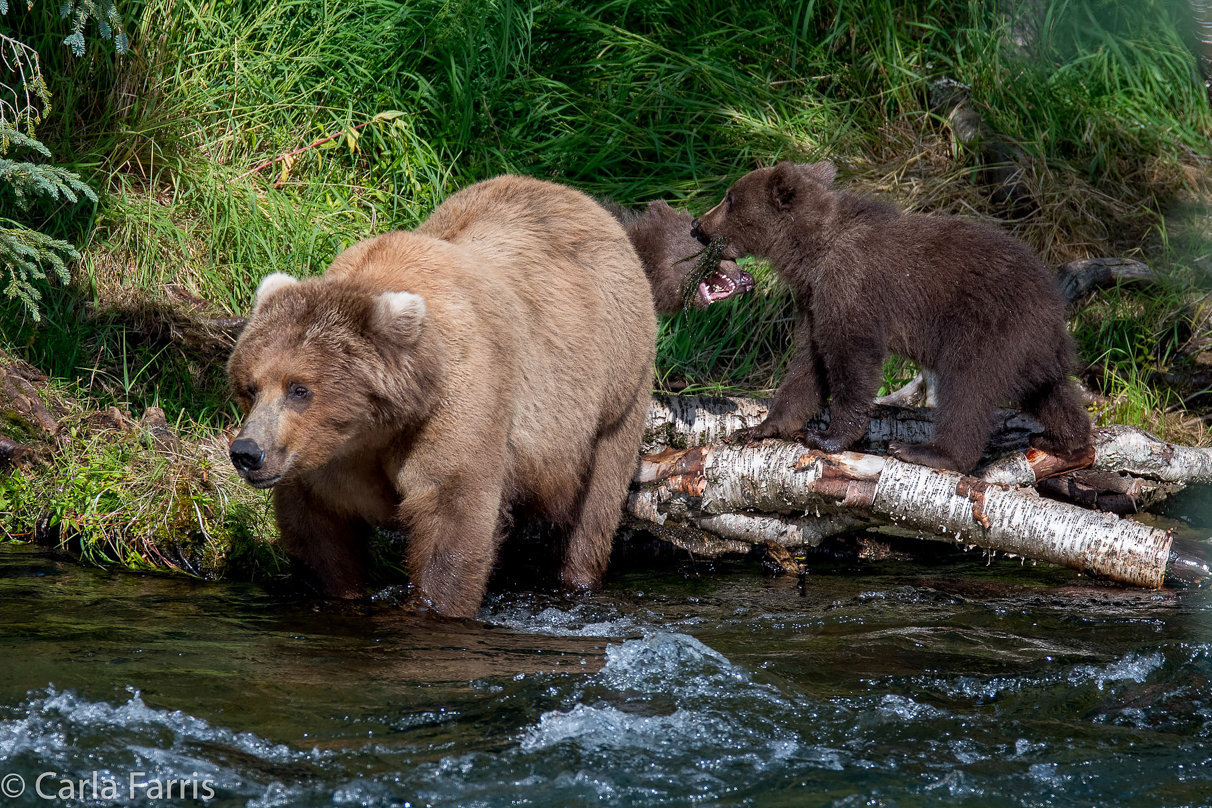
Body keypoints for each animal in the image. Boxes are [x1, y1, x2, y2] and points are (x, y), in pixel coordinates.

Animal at [230, 176, 659, 615]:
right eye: (249, 386)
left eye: (300, 389)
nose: (247, 452)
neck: (376, 427)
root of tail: (582, 199)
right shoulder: (321, 457)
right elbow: (318, 532)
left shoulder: (456, 403)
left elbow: (452, 513)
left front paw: (433, 605)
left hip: (614, 382)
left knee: (595, 502)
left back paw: (576, 579)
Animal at [693, 159, 1090, 474]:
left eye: (729, 197)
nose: (698, 223)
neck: (810, 254)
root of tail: (1054, 304)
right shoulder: (816, 301)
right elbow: (808, 364)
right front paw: (760, 427)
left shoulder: (851, 286)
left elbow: (852, 359)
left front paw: (829, 437)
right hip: (1032, 348)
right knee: (1052, 391)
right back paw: (1066, 440)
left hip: (991, 328)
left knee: (968, 390)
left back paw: (930, 452)